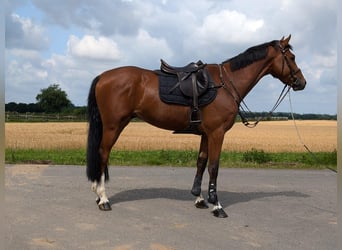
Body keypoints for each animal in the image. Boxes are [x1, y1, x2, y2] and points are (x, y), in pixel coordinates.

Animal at [87, 34, 306, 217]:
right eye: (292, 57)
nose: (301, 82)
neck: (226, 84)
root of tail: (103, 76)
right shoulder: (217, 133)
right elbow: (214, 166)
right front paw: (217, 205)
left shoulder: (206, 134)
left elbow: (201, 162)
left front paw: (199, 198)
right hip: (114, 126)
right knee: (103, 154)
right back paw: (103, 199)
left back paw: (98, 195)